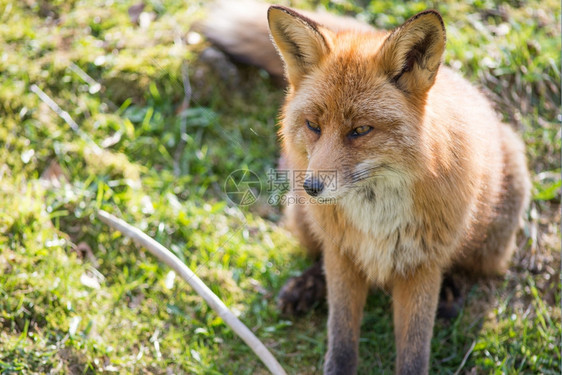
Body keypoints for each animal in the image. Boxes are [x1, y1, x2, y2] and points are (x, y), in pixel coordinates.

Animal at [201, 1, 528, 374]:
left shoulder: (421, 266)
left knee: (471, 269)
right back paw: (305, 285)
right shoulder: (343, 253)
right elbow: (341, 334)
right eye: (313, 126)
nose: (311, 187)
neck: (377, 217)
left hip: (492, 237)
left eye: (360, 130)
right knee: (316, 257)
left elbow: (414, 350)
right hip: (305, 222)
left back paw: (451, 289)